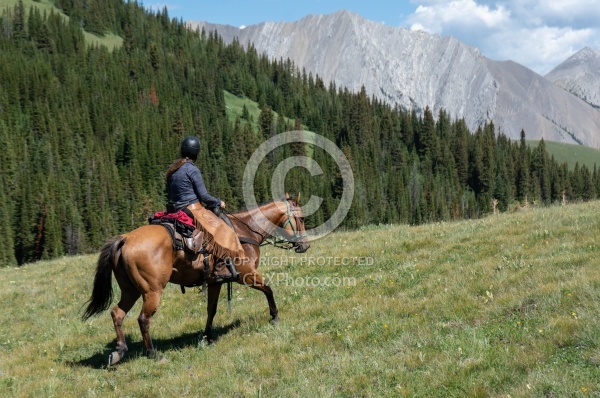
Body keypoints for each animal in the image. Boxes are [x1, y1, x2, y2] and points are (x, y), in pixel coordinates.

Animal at [82, 194, 310, 366]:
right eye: (301, 219)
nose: (305, 245)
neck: (244, 231)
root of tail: (126, 238)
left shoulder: (216, 282)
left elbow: (212, 309)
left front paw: (207, 336)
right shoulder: (247, 275)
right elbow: (269, 289)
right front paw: (274, 317)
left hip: (131, 290)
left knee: (117, 314)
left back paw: (119, 351)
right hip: (152, 291)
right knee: (143, 319)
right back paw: (153, 354)